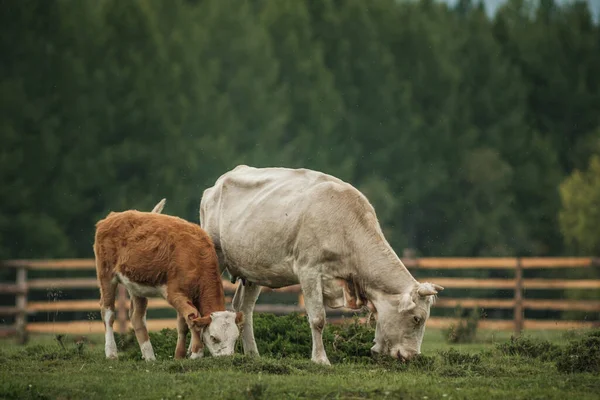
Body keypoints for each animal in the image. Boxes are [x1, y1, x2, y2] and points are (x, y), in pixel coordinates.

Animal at [199, 164, 442, 364]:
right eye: (417, 318)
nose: (412, 356)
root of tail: (218, 183)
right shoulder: (308, 270)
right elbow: (317, 319)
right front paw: (320, 359)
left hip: (253, 271)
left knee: (244, 308)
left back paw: (252, 354)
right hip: (216, 254)